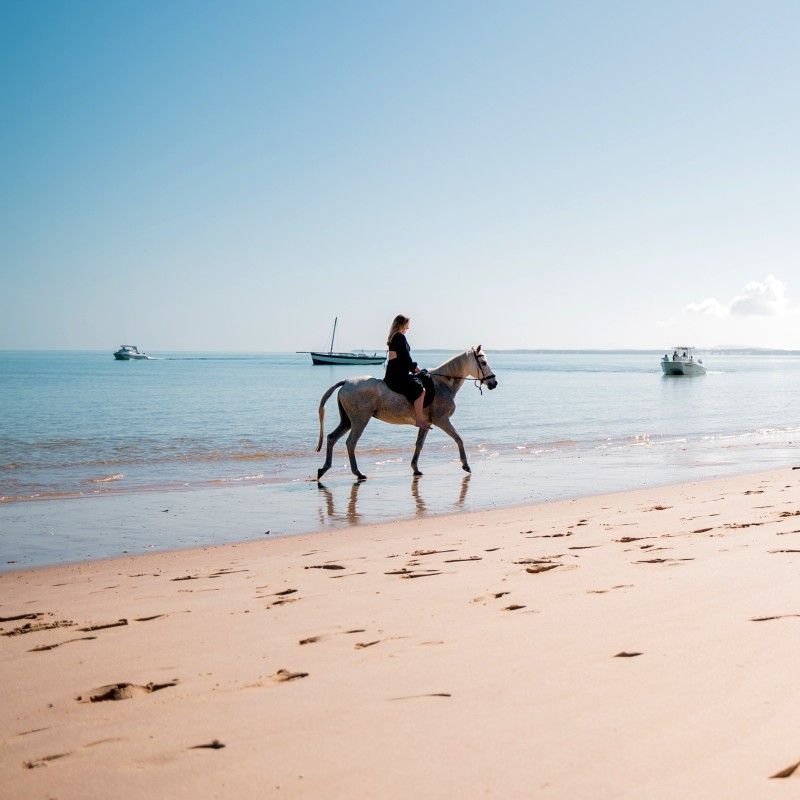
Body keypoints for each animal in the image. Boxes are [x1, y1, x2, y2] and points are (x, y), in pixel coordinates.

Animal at [315, 346, 497, 481]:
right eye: (483, 362)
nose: (493, 382)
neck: (442, 384)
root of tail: (346, 382)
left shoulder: (426, 424)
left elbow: (419, 445)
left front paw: (415, 468)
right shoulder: (442, 420)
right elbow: (458, 438)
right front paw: (465, 465)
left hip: (347, 421)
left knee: (331, 438)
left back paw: (324, 469)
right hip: (360, 420)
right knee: (350, 443)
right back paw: (357, 473)